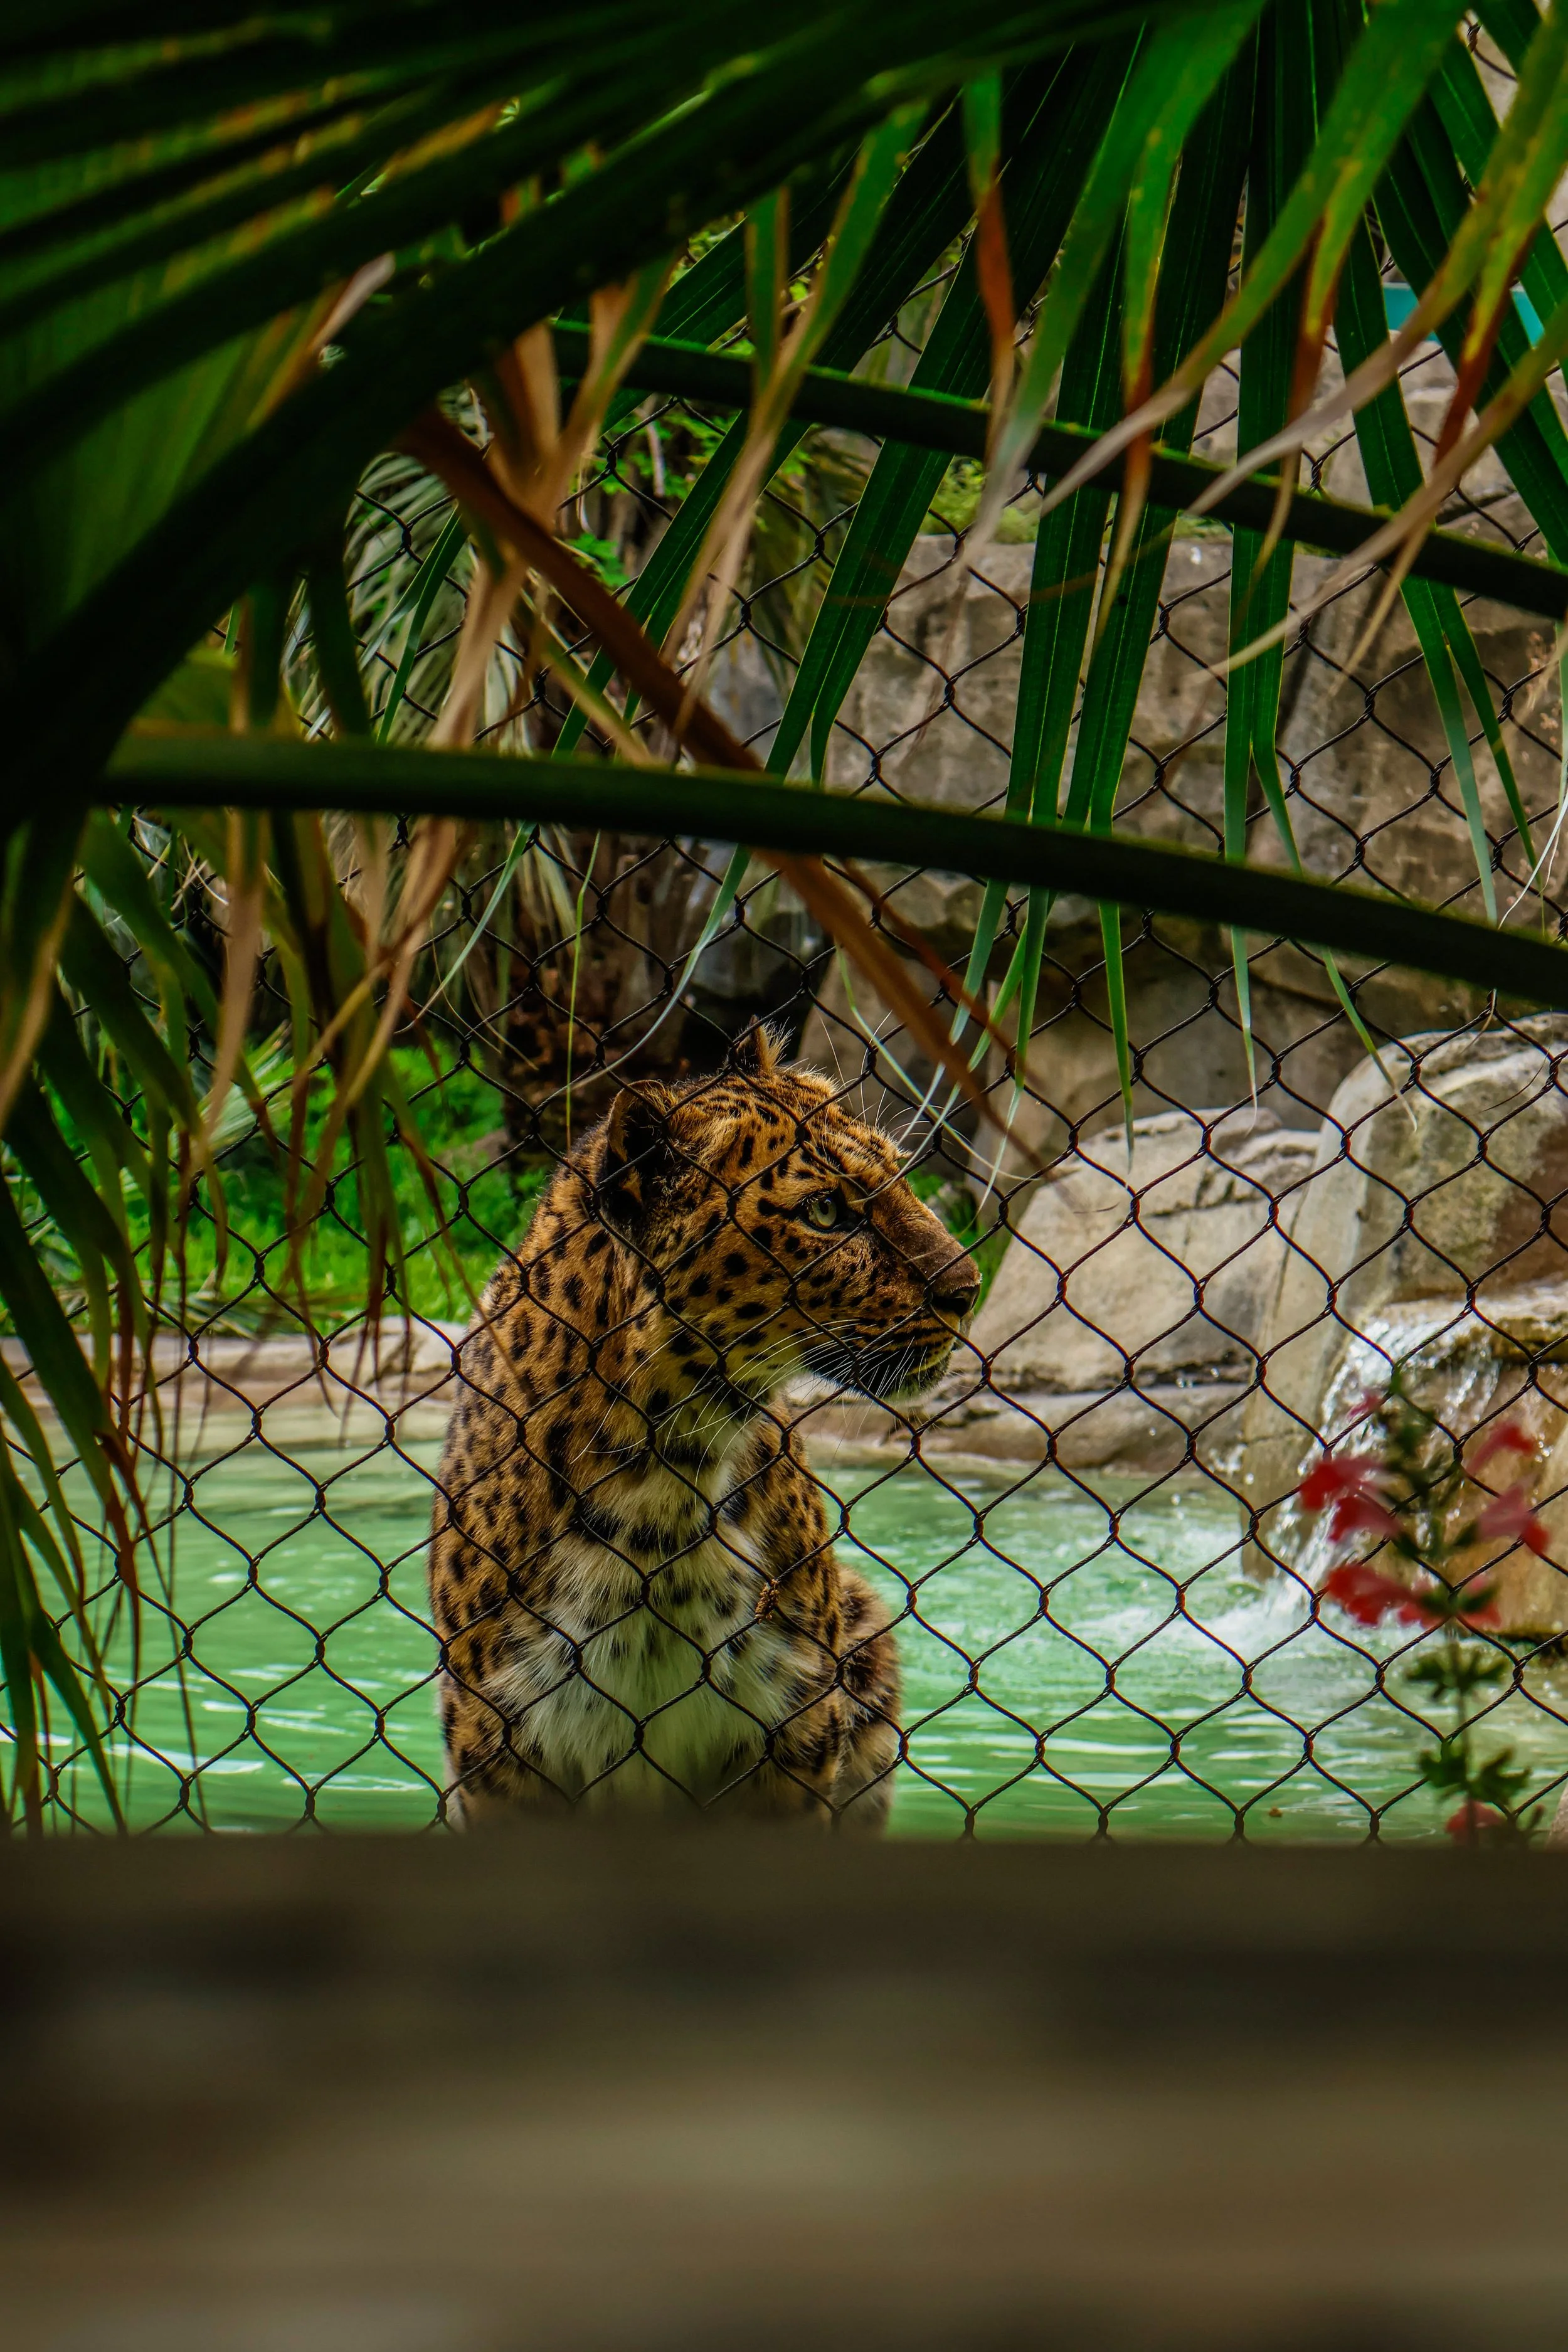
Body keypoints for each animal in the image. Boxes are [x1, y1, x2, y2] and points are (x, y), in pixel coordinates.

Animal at [427, 1025, 980, 1829]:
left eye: (899, 1174)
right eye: (824, 1213)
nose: (968, 1290)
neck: (664, 1473)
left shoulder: (793, 1724)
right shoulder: (499, 1739)